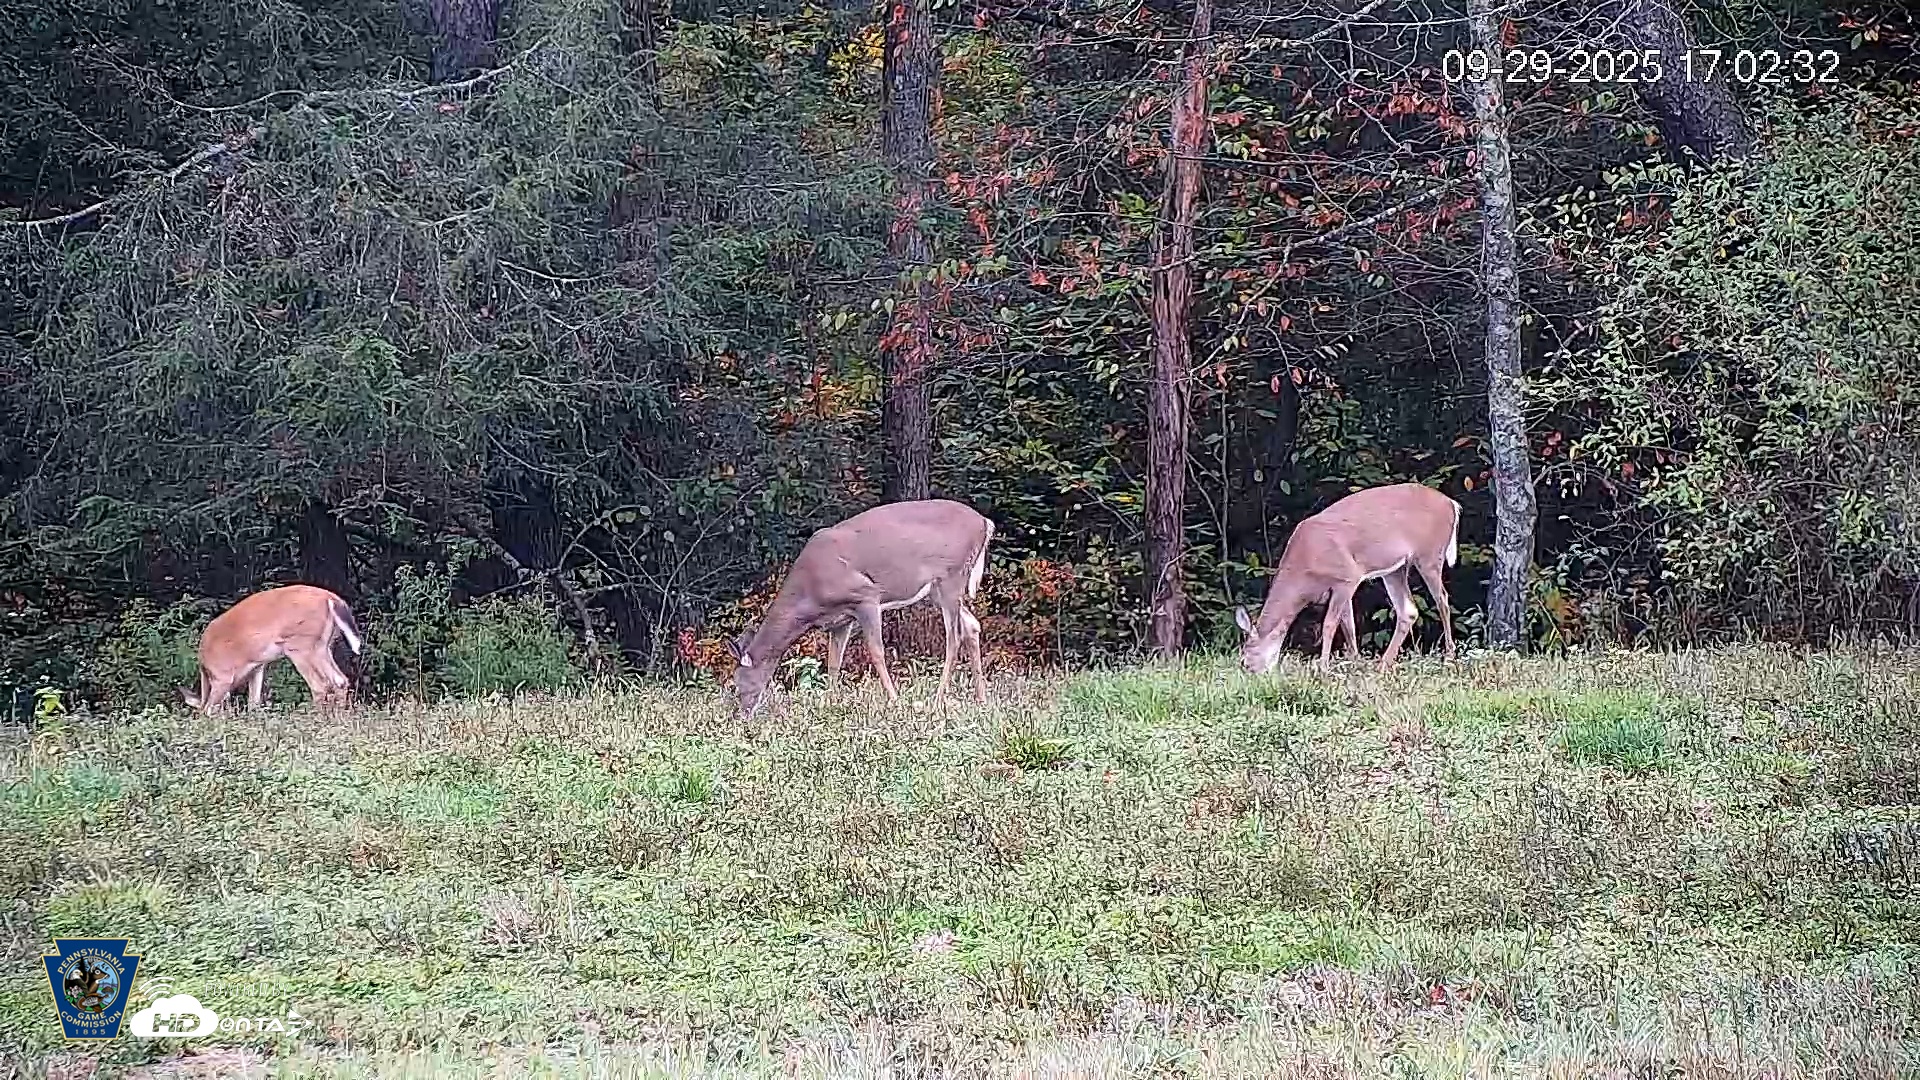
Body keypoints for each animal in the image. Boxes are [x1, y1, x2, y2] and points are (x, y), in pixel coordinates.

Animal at [179, 584, 363, 713]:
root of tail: (333, 599)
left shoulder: (222, 675)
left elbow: (210, 708)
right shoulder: (257, 666)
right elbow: (253, 702)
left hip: (300, 645)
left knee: (320, 685)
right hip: (323, 646)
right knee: (340, 680)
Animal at [729, 499, 995, 720]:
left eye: (739, 683)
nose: (742, 716)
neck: (810, 598)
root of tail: (985, 522)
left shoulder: (866, 596)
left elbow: (876, 652)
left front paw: (895, 701)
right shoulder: (840, 620)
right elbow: (833, 662)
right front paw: (830, 704)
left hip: (952, 576)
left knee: (954, 637)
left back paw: (938, 700)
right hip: (938, 591)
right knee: (972, 626)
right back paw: (981, 699)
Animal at [1233, 482, 1461, 674]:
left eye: (1244, 662)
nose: (1252, 675)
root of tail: (1452, 504)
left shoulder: (1348, 576)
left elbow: (1329, 624)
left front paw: (1323, 669)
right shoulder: (1340, 587)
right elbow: (1348, 626)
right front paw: (1355, 663)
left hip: (1430, 555)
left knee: (1442, 600)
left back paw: (1449, 658)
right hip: (1395, 569)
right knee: (1409, 610)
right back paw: (1382, 665)